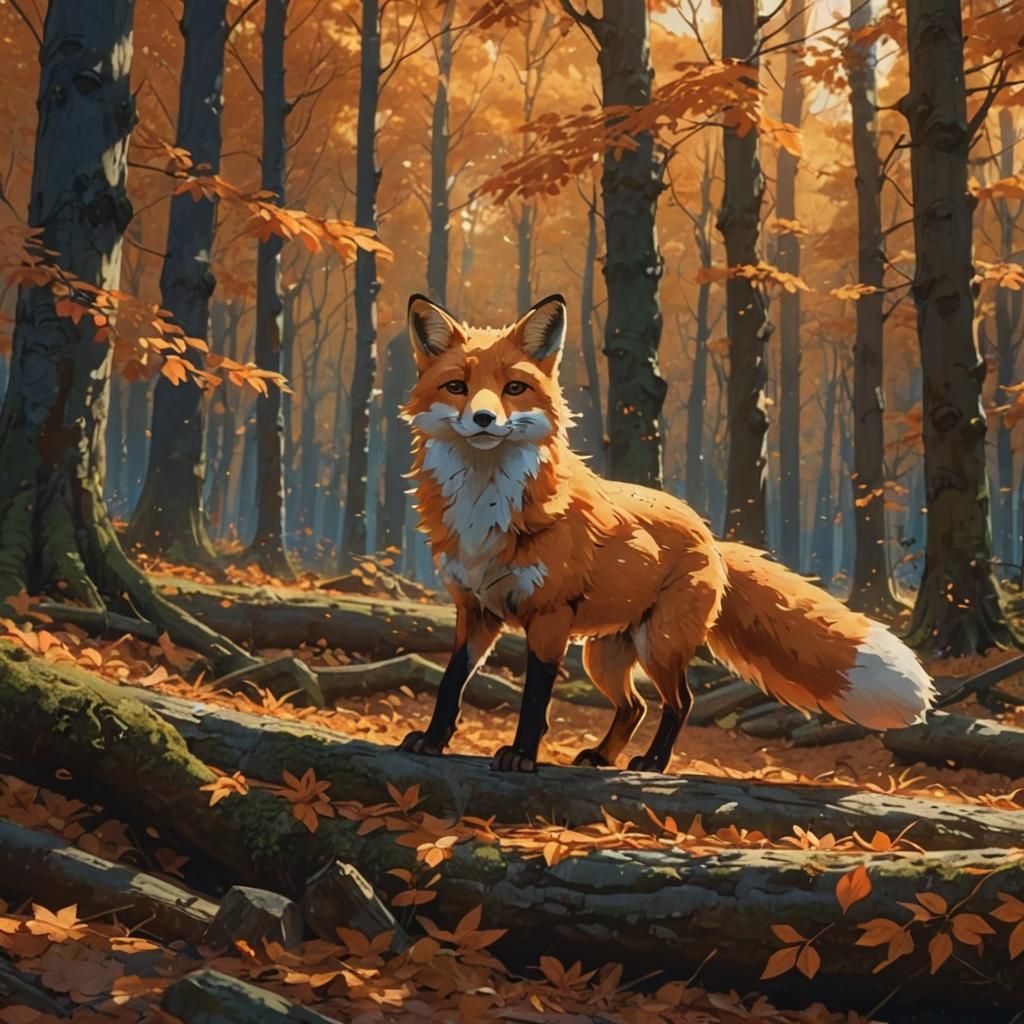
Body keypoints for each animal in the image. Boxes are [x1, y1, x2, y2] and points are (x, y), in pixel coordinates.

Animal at [398, 292, 936, 773]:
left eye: (513, 389)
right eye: (457, 387)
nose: (484, 419)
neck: (484, 506)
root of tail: (710, 535)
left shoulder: (549, 617)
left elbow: (535, 700)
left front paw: (522, 757)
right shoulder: (475, 611)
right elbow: (450, 684)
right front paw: (432, 740)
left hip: (657, 644)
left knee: (682, 702)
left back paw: (652, 763)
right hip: (603, 656)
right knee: (635, 706)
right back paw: (603, 757)